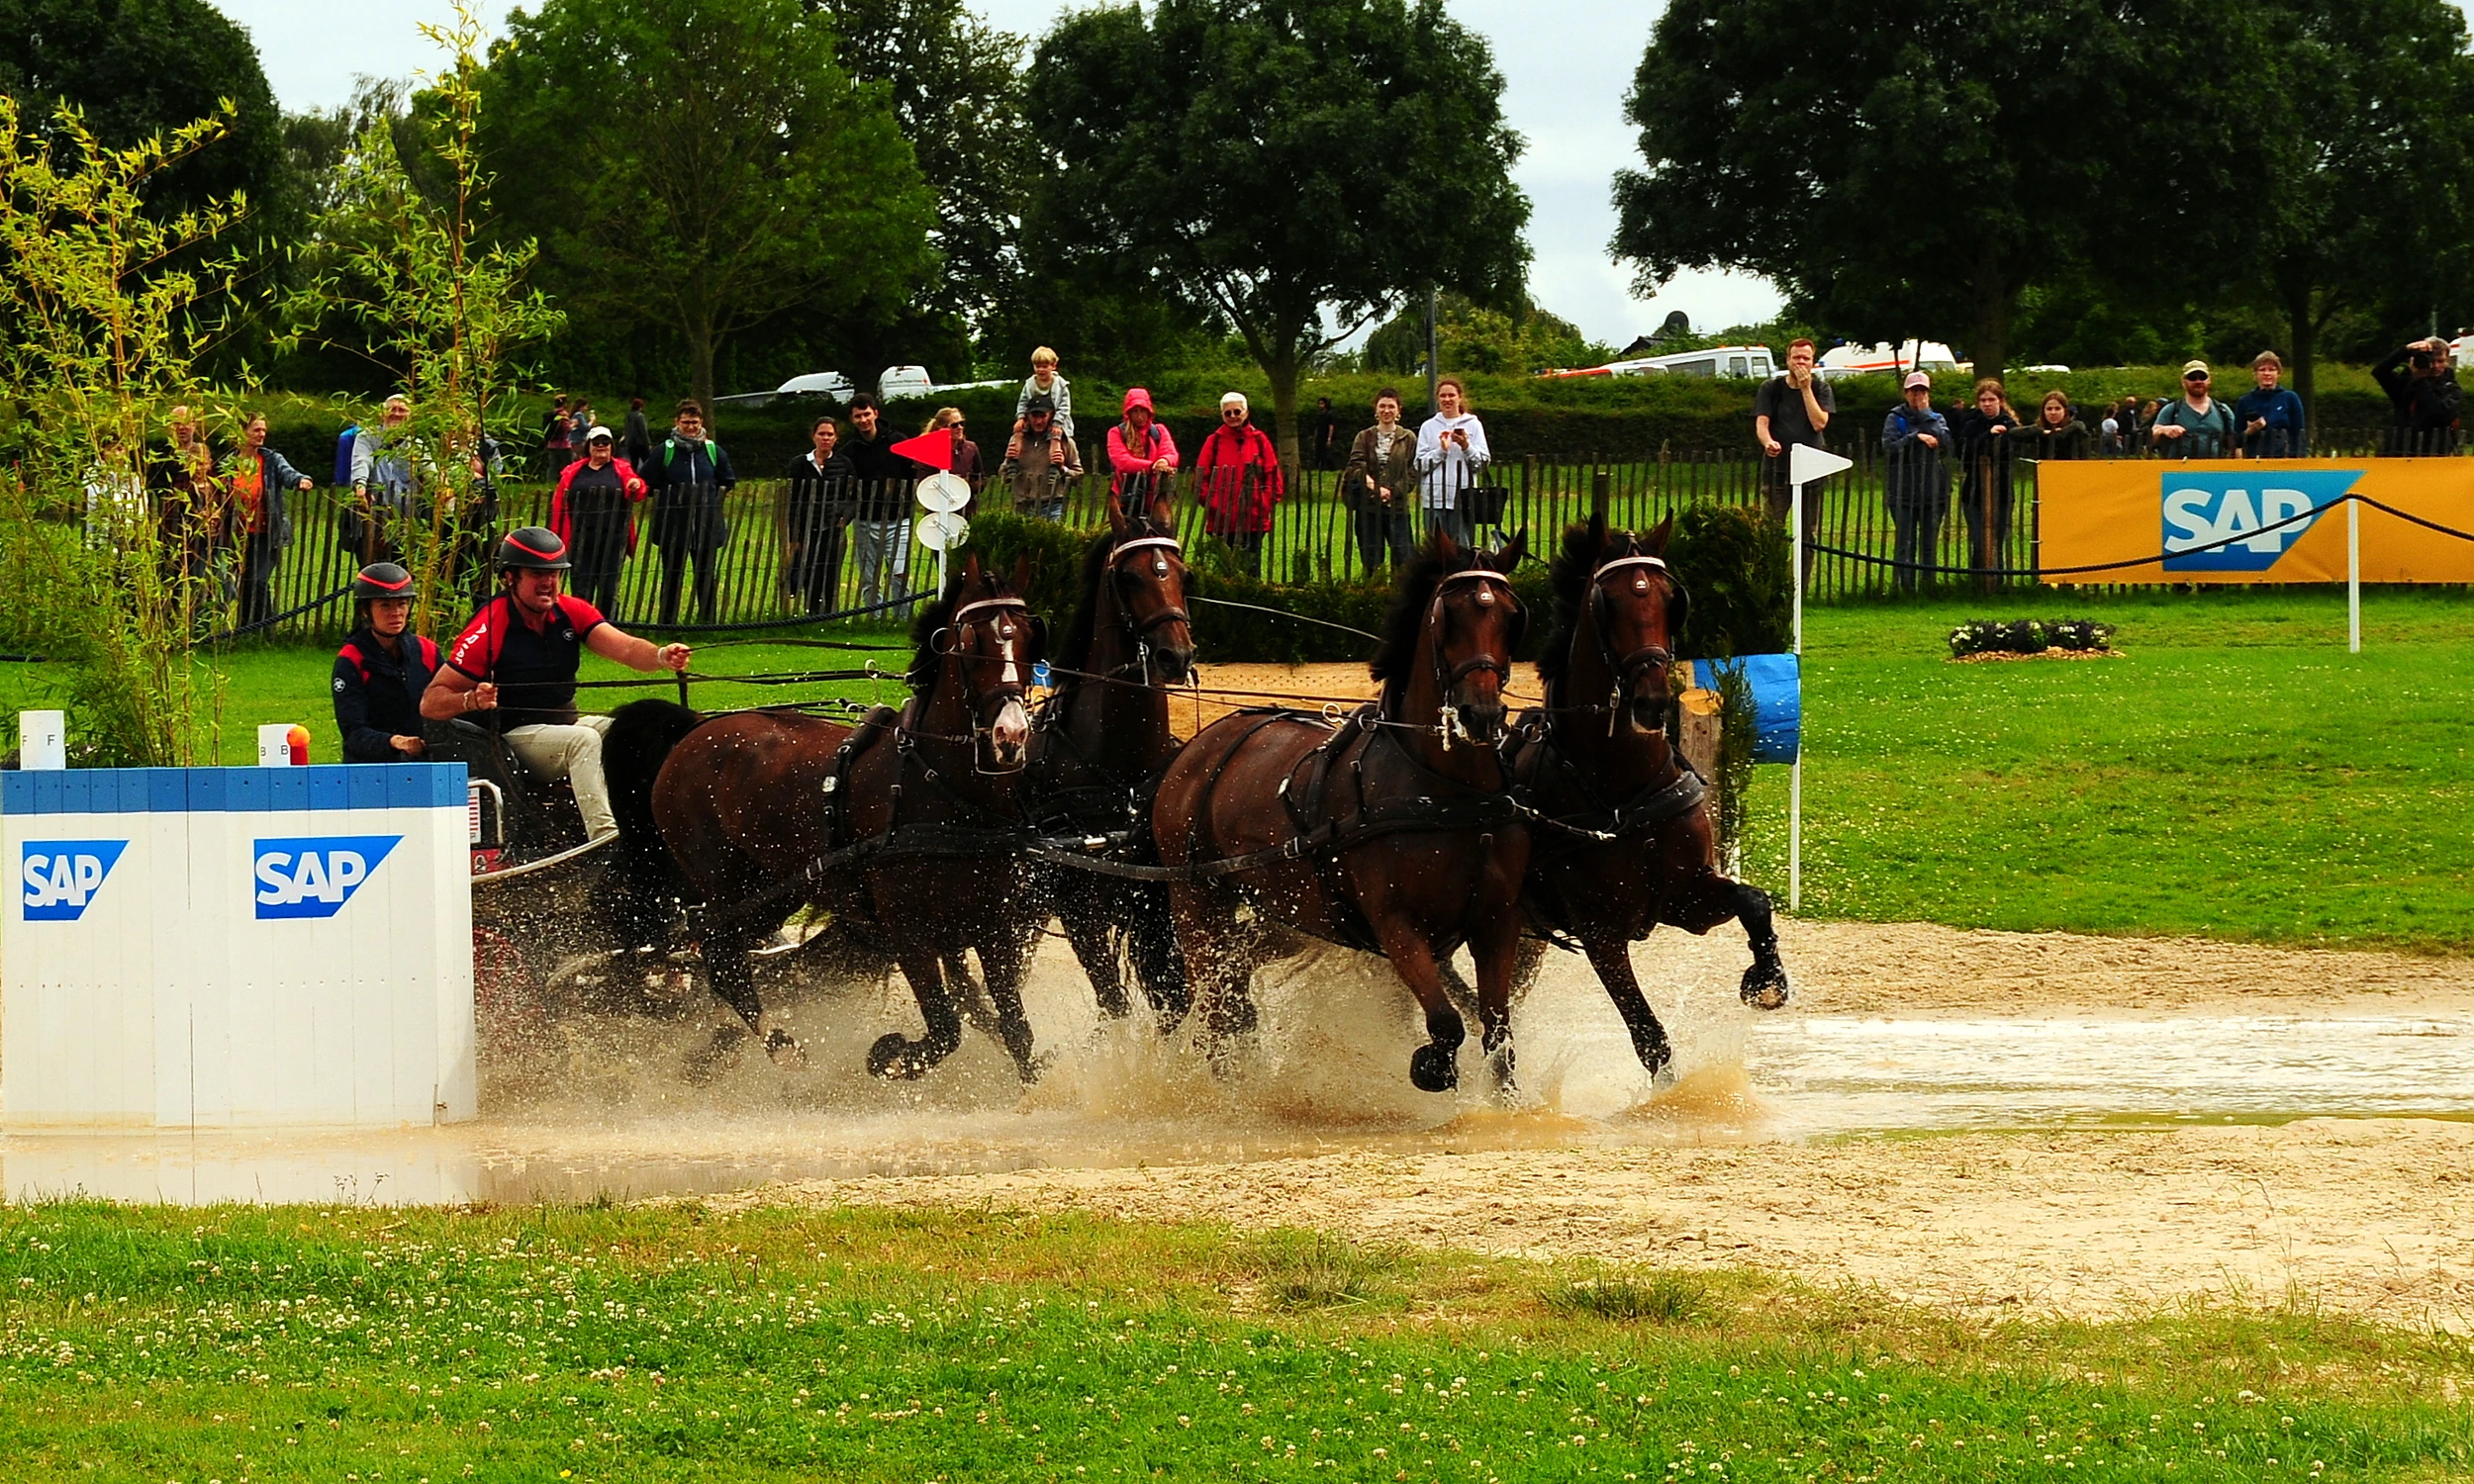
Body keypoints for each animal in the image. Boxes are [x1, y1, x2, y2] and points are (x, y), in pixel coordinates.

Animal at [1024, 492, 1197, 1024]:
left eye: (1184, 575)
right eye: (1130, 577)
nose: (1175, 656)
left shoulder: (1155, 906)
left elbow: (1175, 1003)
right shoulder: (1081, 911)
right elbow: (1113, 1001)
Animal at [1153, 534, 1524, 1088]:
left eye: (1510, 615)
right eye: (1448, 616)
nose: (1481, 713)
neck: (1447, 795)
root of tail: (1198, 746)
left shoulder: (1496, 924)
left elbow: (1498, 1038)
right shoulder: (1397, 925)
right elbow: (1445, 1025)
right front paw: (1431, 1065)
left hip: (1280, 910)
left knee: (1235, 983)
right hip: (1196, 900)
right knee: (1216, 1007)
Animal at [1514, 516, 1791, 1083]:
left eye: (1670, 599)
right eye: (1610, 603)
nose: (1654, 701)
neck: (1625, 791)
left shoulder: (1686, 897)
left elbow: (1753, 900)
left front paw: (1766, 979)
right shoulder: (1599, 932)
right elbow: (1649, 1036)